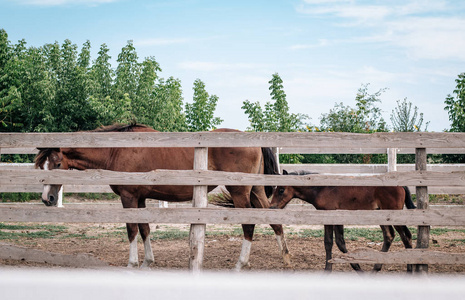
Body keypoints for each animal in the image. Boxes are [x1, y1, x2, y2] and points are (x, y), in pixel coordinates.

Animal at [35, 123, 290, 270]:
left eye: (56, 164)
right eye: (41, 166)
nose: (47, 199)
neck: (117, 149)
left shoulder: (128, 198)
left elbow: (132, 230)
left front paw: (132, 263)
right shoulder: (140, 199)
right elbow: (145, 229)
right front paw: (148, 261)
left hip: (240, 191)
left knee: (248, 224)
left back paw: (240, 264)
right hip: (256, 190)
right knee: (272, 220)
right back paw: (285, 257)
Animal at [268, 170, 414, 274]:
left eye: (281, 189)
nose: (271, 207)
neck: (321, 188)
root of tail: (401, 185)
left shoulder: (330, 215)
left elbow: (330, 242)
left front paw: (329, 270)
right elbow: (338, 242)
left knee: (405, 236)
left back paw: (410, 270)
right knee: (389, 236)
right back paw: (375, 269)